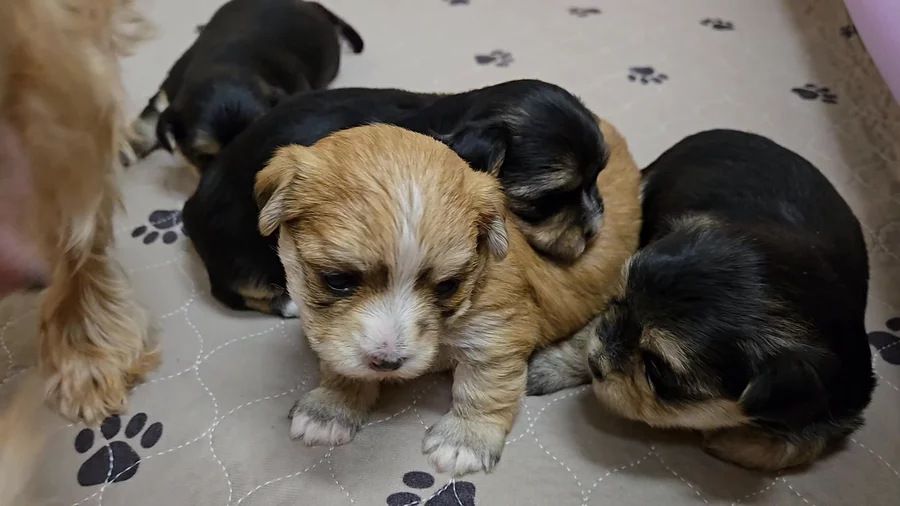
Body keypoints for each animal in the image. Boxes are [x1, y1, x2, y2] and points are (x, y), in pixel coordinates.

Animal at [183, 80, 609, 317]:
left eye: (597, 178)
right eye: (547, 202)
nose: (594, 230)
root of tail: (191, 208)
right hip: (244, 251)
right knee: (235, 290)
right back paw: (287, 302)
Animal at [253, 123, 641, 476]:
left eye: (447, 286)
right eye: (337, 281)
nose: (388, 363)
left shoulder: (495, 335)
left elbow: (484, 389)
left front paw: (465, 440)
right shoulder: (333, 335)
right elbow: (341, 365)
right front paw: (331, 407)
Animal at [526, 129, 875, 472]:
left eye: (658, 370)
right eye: (617, 302)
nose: (596, 364)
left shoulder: (843, 406)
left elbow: (797, 445)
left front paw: (729, 437)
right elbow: (590, 331)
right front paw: (545, 368)